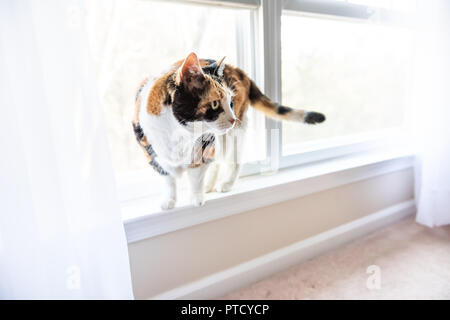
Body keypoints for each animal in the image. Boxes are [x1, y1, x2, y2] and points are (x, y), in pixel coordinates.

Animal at [132, 52, 326, 210]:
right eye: (215, 104)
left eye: (230, 102)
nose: (233, 119)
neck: (179, 136)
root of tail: (238, 69)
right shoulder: (150, 152)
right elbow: (168, 179)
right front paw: (169, 200)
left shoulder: (204, 144)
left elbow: (196, 174)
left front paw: (196, 198)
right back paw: (210, 185)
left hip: (234, 133)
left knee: (233, 158)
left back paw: (225, 183)